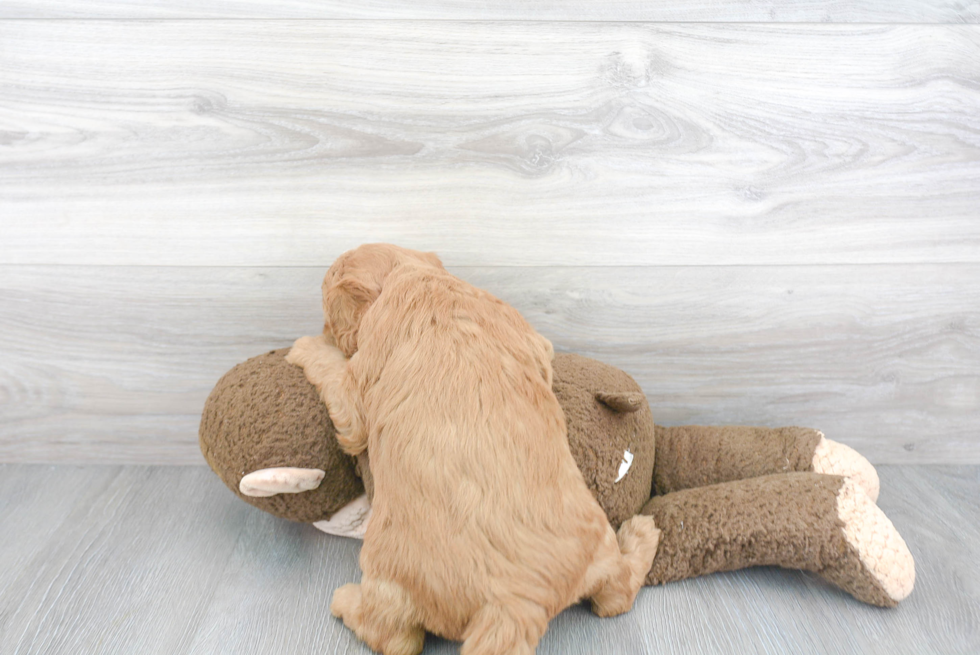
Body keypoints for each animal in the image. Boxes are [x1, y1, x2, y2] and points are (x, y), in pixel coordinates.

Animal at [288, 245, 664, 655]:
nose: (325, 331)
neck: (420, 278)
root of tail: (514, 607)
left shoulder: (358, 389)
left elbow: (335, 379)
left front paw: (307, 344)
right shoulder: (534, 341)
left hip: (390, 578)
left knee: (395, 637)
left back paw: (345, 600)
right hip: (599, 548)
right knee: (616, 595)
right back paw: (642, 533)